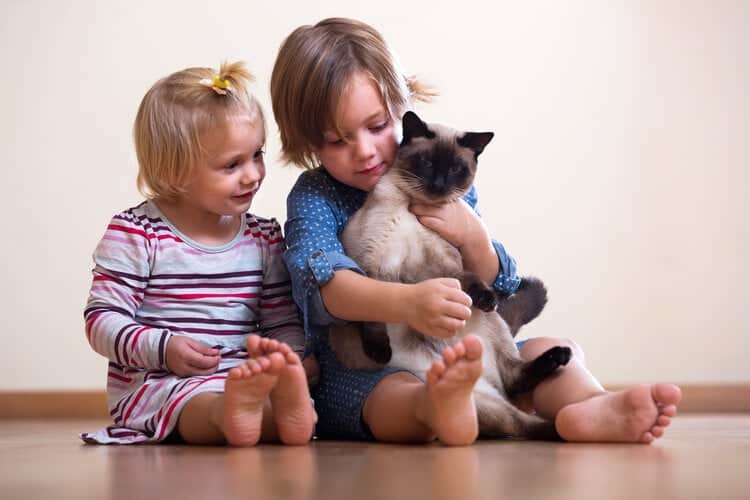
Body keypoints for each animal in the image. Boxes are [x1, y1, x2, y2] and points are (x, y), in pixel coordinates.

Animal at [332, 111, 572, 440]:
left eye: (456, 169)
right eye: (427, 163)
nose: (439, 184)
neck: (412, 208)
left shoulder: (442, 263)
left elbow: (467, 278)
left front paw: (483, 294)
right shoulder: (374, 266)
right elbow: (374, 318)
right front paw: (379, 350)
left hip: (492, 323)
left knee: (515, 386)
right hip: (475, 400)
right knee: (519, 421)